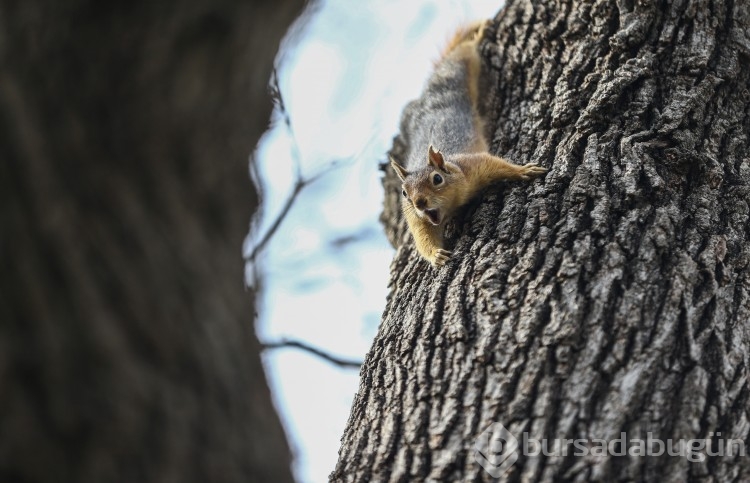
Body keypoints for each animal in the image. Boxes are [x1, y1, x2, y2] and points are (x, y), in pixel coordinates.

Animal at [394, 20, 548, 266]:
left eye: (437, 179)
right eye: (404, 193)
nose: (419, 203)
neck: (452, 204)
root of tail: (426, 95)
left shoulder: (471, 165)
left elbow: (496, 164)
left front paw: (522, 170)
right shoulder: (416, 219)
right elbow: (423, 238)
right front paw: (436, 255)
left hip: (458, 69)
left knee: (464, 51)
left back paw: (479, 33)